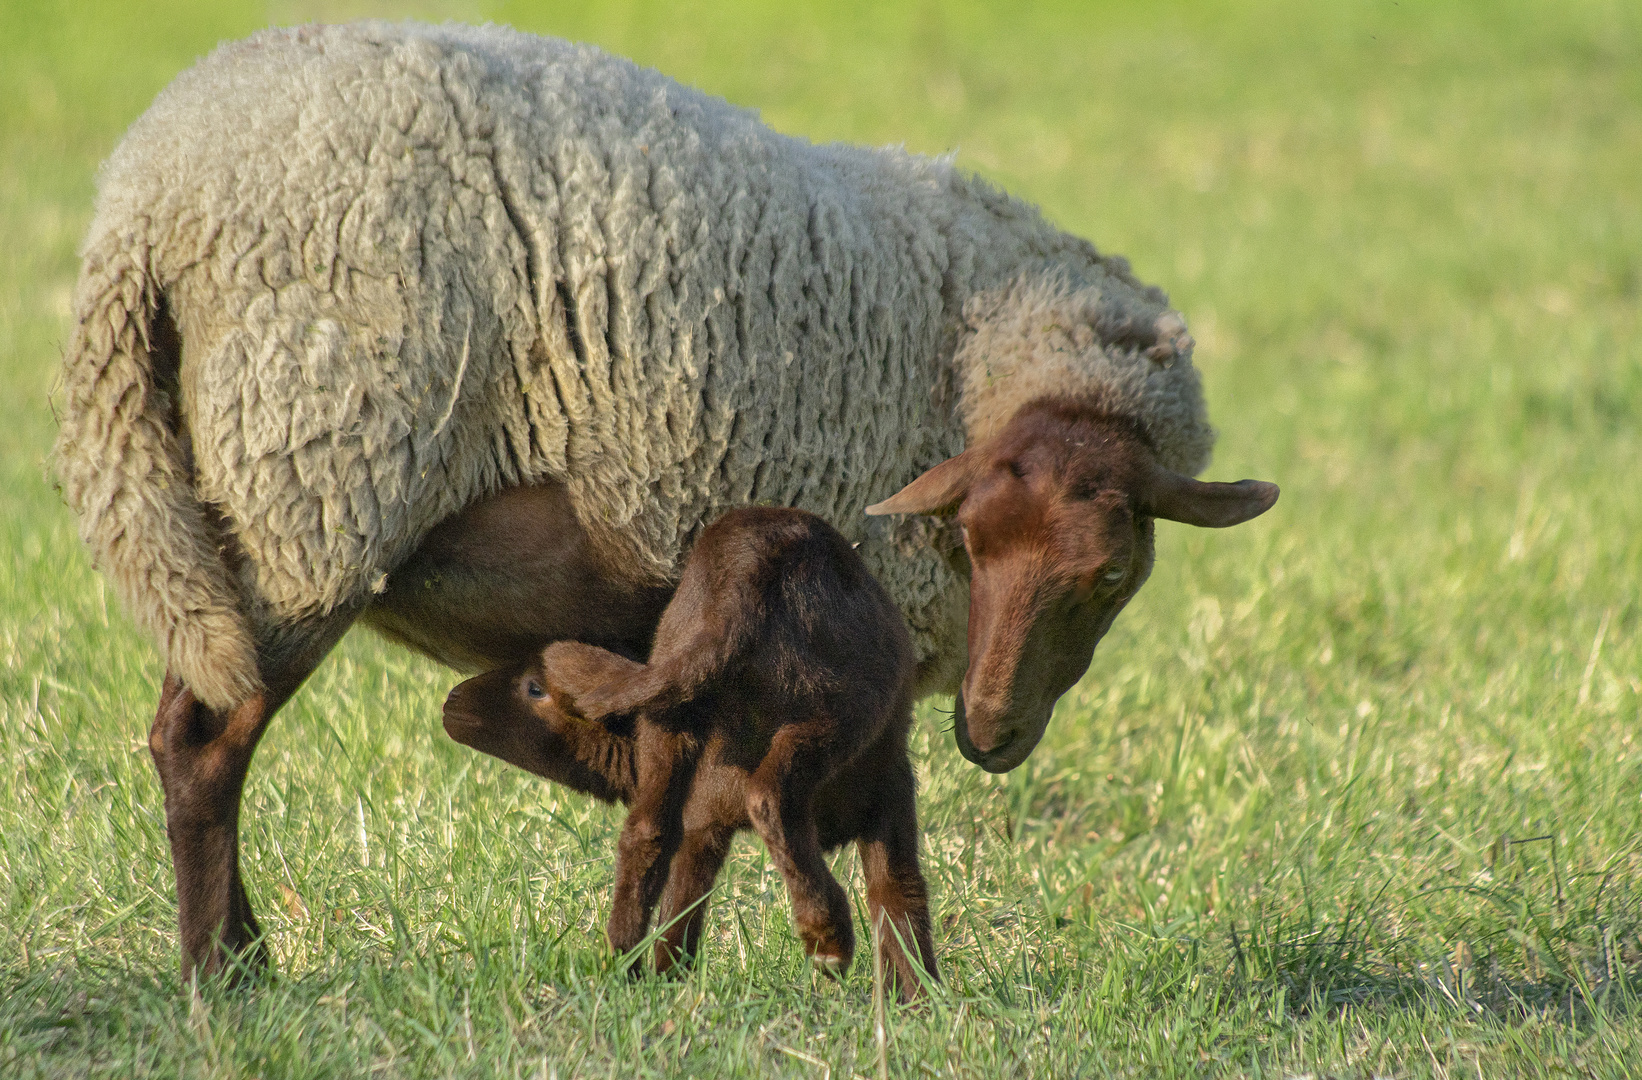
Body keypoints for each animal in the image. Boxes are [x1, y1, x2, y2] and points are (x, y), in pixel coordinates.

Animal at [443, 505, 939, 991]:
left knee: (648, 833)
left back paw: (626, 966)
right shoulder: (891, 788)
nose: (451, 702)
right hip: (841, 704)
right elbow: (902, 896)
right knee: (771, 795)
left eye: (534, 687)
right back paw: (827, 938)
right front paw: (920, 1000)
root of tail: (744, 576)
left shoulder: (712, 812)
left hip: (675, 710)